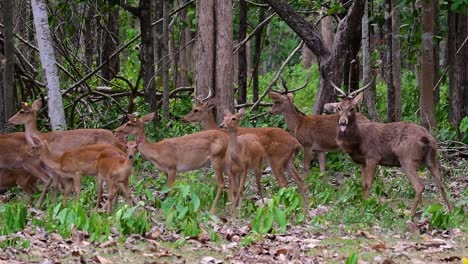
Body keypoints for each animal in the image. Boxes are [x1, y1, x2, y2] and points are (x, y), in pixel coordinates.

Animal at [326, 81, 454, 217]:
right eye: (339, 108)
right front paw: (362, 206)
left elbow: (368, 184)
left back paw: (410, 215)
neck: (358, 141)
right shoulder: (363, 162)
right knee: (441, 185)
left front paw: (363, 210)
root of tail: (427, 138)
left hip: (407, 158)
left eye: (351, 108)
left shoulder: (373, 156)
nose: (342, 122)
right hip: (431, 158)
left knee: (420, 186)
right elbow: (363, 184)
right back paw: (452, 212)